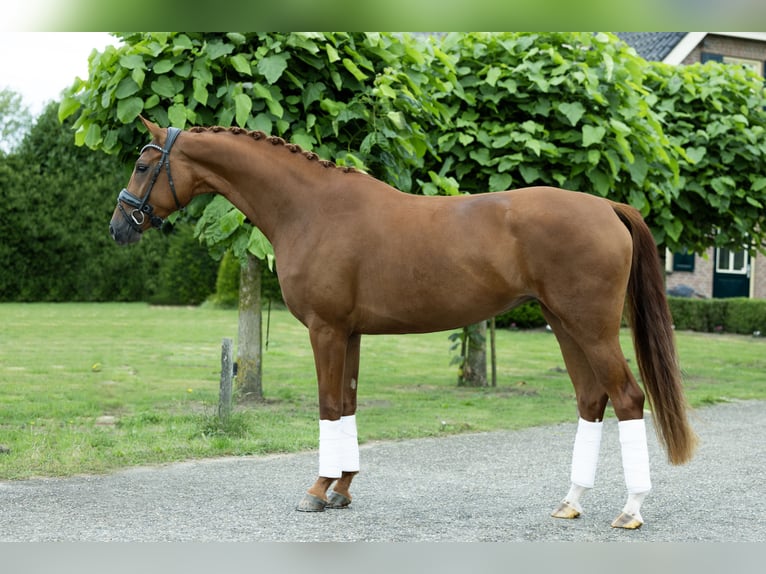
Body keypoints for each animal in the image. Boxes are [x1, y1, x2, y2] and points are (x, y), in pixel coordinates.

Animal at [111, 119, 700, 532]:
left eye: (142, 165)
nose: (119, 226)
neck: (311, 209)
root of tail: (606, 206)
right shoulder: (349, 333)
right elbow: (347, 404)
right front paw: (342, 490)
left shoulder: (325, 330)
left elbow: (328, 406)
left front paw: (316, 491)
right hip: (564, 323)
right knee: (591, 400)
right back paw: (570, 503)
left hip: (591, 326)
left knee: (627, 398)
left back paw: (630, 510)